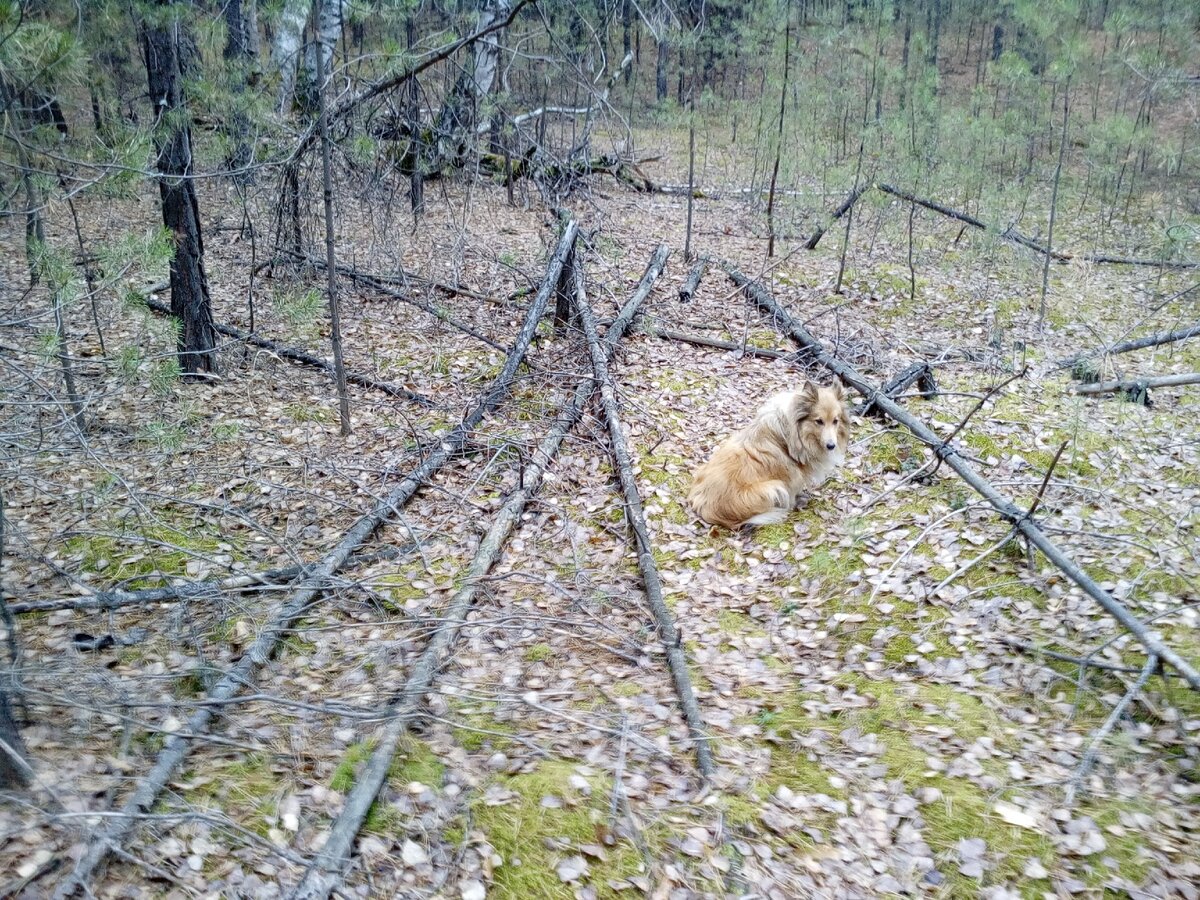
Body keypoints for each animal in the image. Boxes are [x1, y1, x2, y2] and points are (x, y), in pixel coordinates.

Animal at [686, 381, 854, 528]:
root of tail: (703, 508)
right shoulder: (791, 478)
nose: (831, 446)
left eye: (836, 421)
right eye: (818, 421)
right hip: (774, 488)